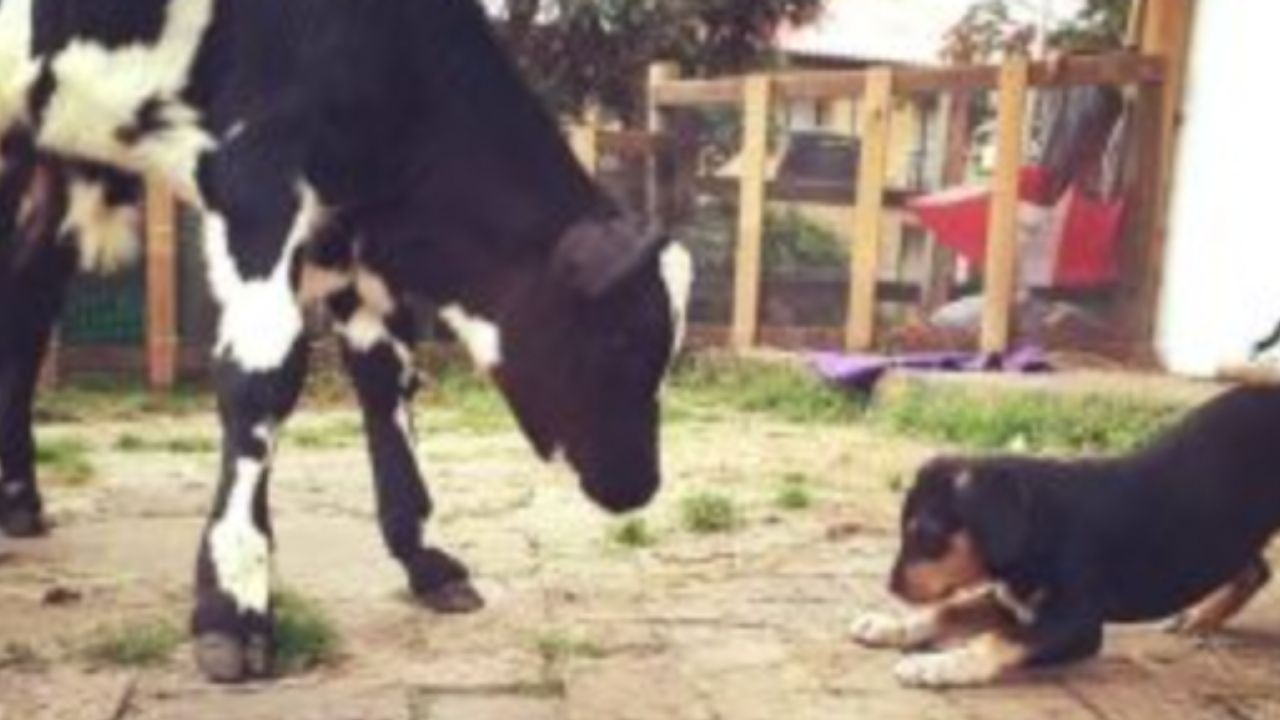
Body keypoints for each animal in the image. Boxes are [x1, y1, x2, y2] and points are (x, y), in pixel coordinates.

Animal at [0, 0, 691, 676]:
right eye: (624, 341)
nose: (642, 483)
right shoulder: (257, 177)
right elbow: (261, 380)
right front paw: (234, 602)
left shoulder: (343, 231)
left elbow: (385, 375)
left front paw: (423, 558)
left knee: (25, 313)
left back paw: (18, 502)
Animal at [849, 384, 1280, 686]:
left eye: (927, 533)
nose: (891, 587)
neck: (1041, 527)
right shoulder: (1012, 599)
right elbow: (949, 609)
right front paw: (891, 626)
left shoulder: (1077, 623)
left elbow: (998, 639)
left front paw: (940, 665)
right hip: (1231, 533)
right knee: (1256, 569)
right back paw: (1201, 617)